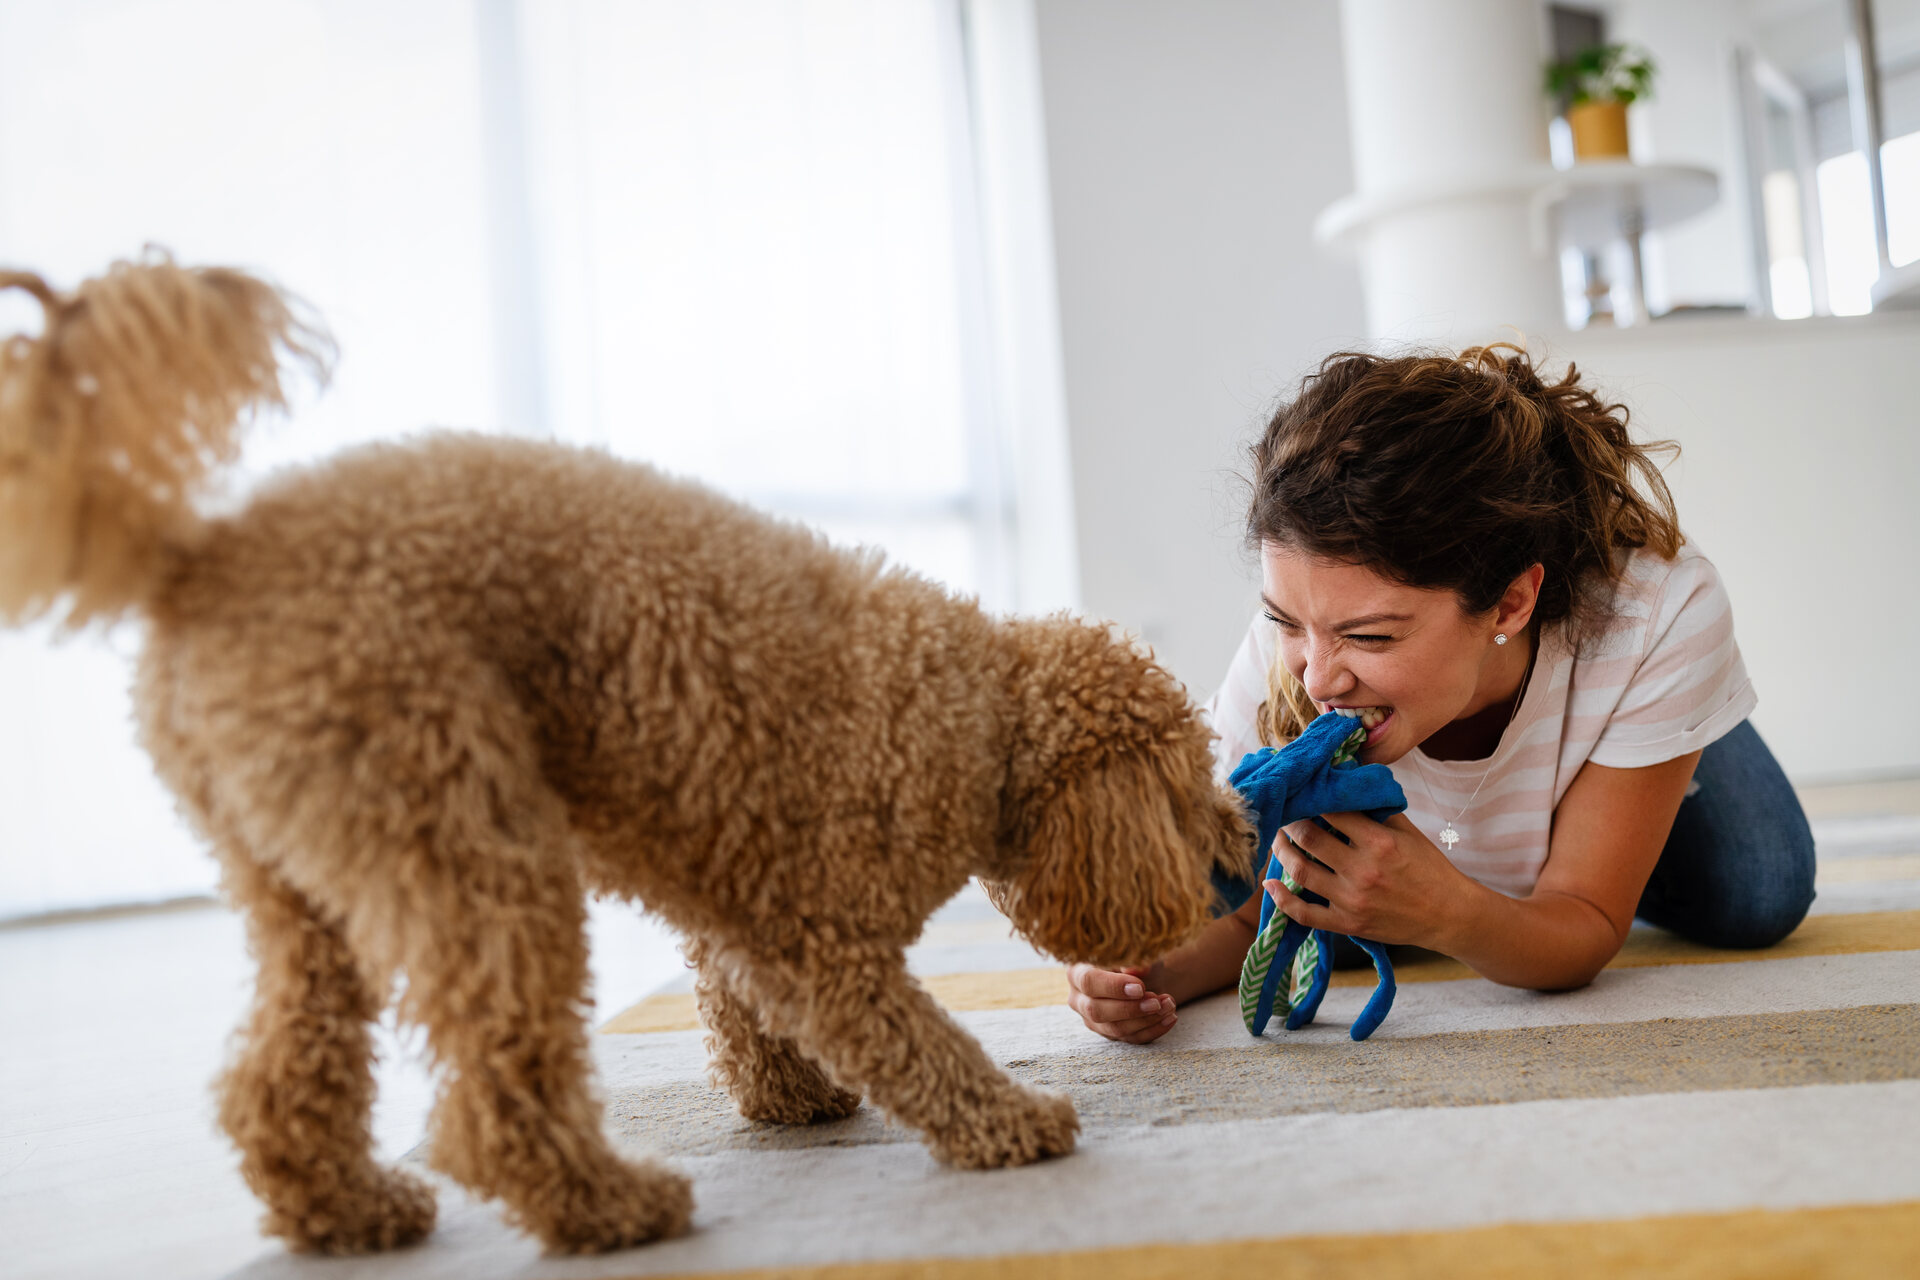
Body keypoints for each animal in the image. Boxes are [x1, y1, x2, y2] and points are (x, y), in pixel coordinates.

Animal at [0, 255, 1251, 1258]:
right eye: (1189, 779)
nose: (1244, 836)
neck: (972, 712)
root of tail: (196, 560)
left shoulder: (735, 895)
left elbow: (737, 1011)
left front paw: (790, 1099)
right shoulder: (820, 933)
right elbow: (908, 1037)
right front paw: (1006, 1123)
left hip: (305, 887)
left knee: (280, 1073)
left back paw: (348, 1208)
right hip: (465, 839)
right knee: (492, 1088)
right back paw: (607, 1201)